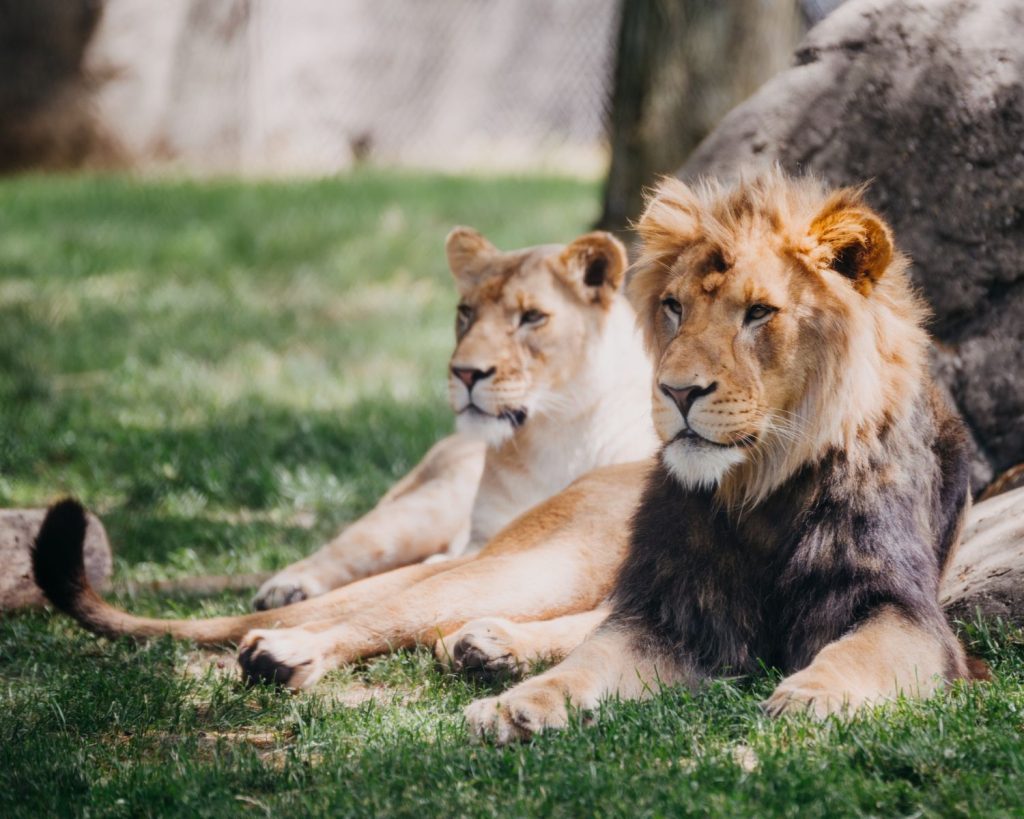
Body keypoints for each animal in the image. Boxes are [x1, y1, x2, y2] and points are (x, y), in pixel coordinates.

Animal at [464, 173, 974, 741]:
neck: (762, 491)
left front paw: (810, 698)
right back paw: (492, 641)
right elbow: (592, 655)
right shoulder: (676, 607)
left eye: (758, 312)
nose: (677, 391)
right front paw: (515, 705)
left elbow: (859, 652)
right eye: (674, 307)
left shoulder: (902, 609)